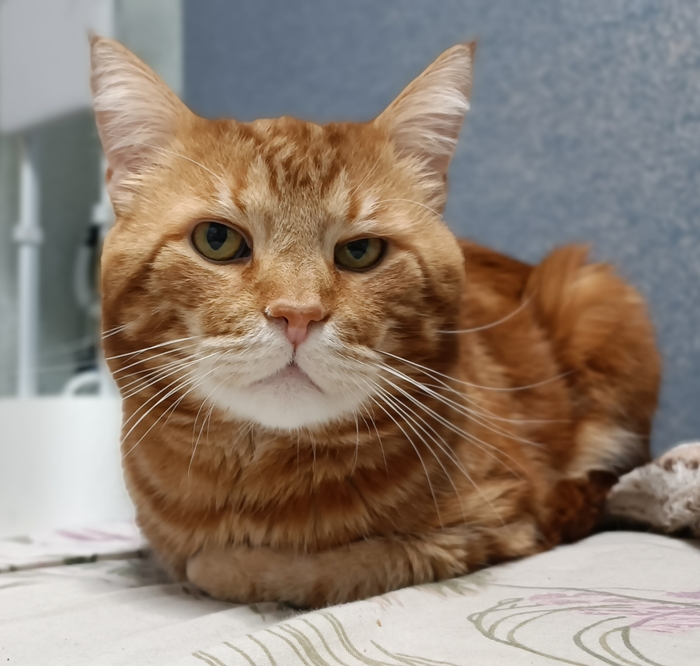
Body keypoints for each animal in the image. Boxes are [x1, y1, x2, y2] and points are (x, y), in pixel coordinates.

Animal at [90, 36, 661, 608]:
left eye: (361, 251)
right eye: (217, 240)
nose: (297, 314)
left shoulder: (494, 522)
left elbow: (328, 567)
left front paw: (234, 564)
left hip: (595, 295)